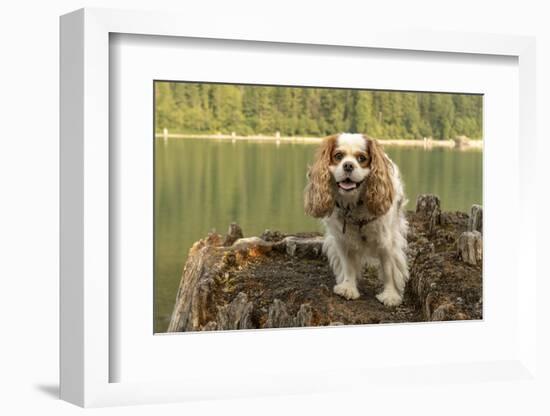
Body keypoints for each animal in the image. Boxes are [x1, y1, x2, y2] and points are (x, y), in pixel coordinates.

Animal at [306, 133, 410, 306]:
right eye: (338, 156)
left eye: (361, 158)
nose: (348, 165)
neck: (354, 203)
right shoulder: (342, 239)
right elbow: (348, 265)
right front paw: (348, 288)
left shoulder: (386, 241)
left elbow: (388, 268)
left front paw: (390, 295)